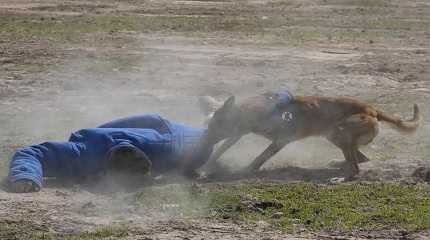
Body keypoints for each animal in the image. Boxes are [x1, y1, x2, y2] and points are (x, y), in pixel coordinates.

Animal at [205, 92, 420, 180]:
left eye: (214, 123)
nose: (205, 137)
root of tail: (373, 109)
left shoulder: (281, 140)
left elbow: (260, 157)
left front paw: (245, 170)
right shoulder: (237, 133)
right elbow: (223, 148)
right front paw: (210, 163)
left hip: (339, 131)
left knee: (356, 166)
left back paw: (342, 176)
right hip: (333, 135)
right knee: (361, 158)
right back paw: (337, 165)